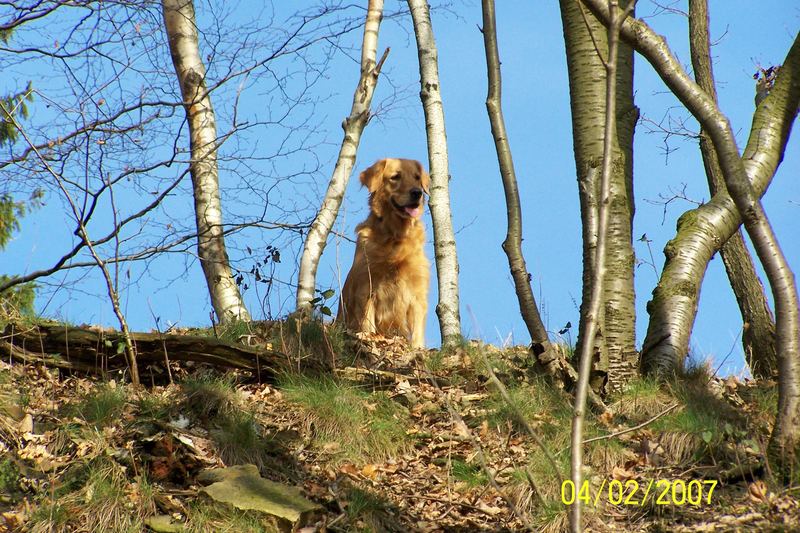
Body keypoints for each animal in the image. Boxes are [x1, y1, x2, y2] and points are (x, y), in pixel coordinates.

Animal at [338, 158, 432, 350]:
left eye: (417, 177)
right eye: (395, 177)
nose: (417, 193)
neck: (396, 236)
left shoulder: (418, 293)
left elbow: (417, 332)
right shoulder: (367, 288)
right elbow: (367, 325)